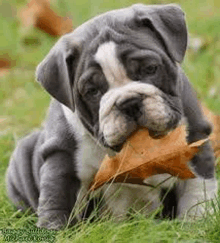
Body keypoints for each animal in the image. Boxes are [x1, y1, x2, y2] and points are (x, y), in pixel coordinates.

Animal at [6, 2, 217, 229]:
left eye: (150, 69)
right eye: (92, 91)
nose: (129, 102)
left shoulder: (194, 144)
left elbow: (197, 195)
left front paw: (196, 226)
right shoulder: (62, 162)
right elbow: (58, 205)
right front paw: (53, 231)